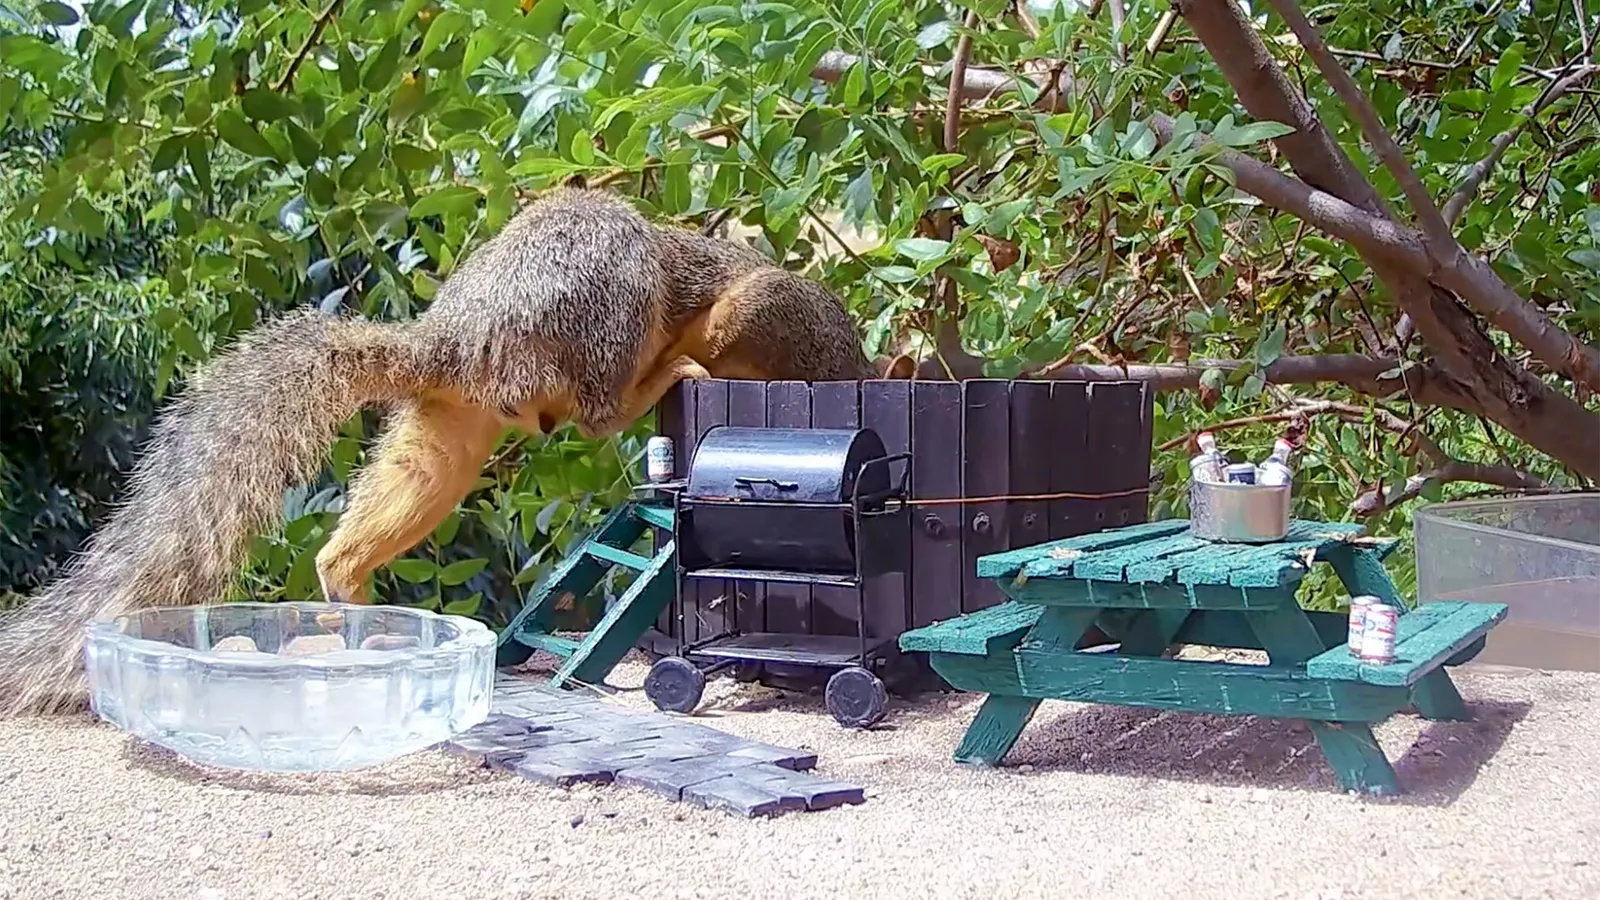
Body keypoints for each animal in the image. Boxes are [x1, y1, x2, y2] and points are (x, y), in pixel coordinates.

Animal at [0, 187, 921, 714]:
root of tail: (459, 339)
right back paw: (661, 372)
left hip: (452, 427)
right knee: (599, 408)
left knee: (410, 487)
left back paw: (347, 581)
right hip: (605, 287)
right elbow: (743, 315)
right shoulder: (785, 319)